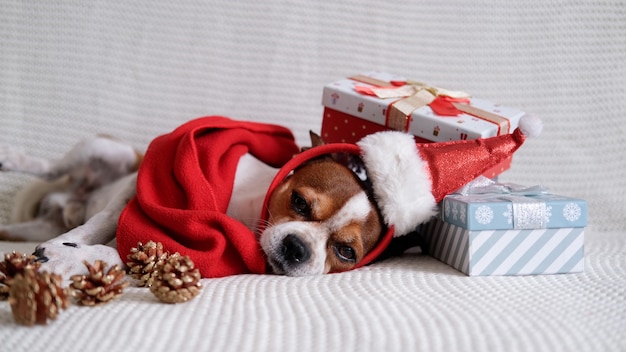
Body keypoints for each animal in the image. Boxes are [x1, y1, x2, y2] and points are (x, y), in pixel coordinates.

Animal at [0, 131, 382, 280]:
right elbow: (103, 224)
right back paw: (15, 160)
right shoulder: (137, 187)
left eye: (346, 252)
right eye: (299, 202)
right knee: (52, 169)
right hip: (109, 152)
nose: (297, 247)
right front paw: (65, 249)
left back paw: (63, 210)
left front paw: (70, 257)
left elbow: (118, 249)